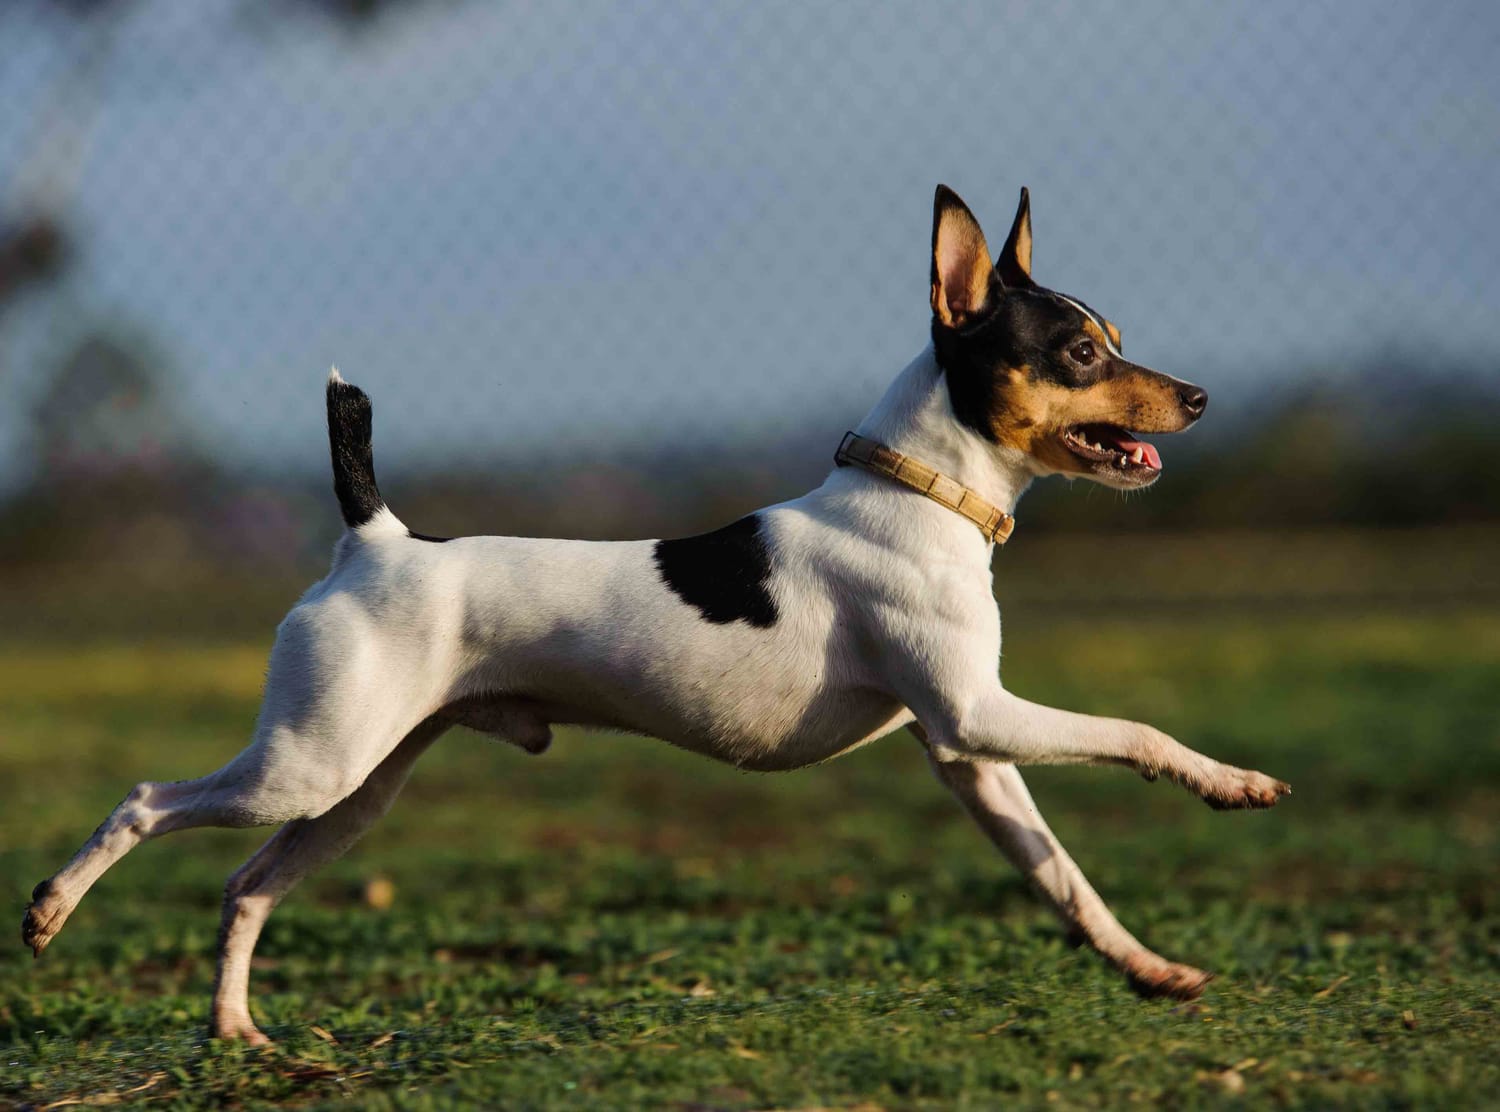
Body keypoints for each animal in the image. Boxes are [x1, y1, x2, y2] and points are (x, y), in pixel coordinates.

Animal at [20, 184, 1290, 1038]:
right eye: (1078, 350)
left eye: (1112, 340)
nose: (1199, 396)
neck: (918, 492)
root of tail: (372, 538)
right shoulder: (982, 715)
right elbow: (1136, 732)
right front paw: (1232, 781)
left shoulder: (969, 753)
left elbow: (1062, 876)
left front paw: (1147, 966)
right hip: (306, 763)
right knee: (147, 801)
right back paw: (49, 909)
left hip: (355, 787)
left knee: (245, 886)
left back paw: (237, 1029)